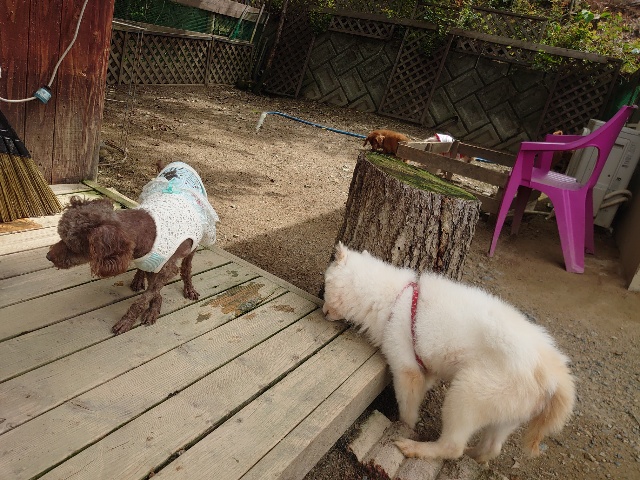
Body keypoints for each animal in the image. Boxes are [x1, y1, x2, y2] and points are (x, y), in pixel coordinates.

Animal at [46, 161, 219, 334]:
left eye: (72, 245)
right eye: (61, 236)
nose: (48, 256)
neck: (147, 230)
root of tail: (180, 163)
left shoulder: (166, 269)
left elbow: (145, 297)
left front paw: (130, 320)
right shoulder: (153, 266)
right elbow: (153, 291)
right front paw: (155, 307)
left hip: (195, 243)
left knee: (187, 268)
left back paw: (189, 288)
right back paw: (138, 280)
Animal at [322, 243, 575, 464]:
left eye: (324, 286)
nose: (323, 312)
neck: (395, 298)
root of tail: (556, 377)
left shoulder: (406, 368)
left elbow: (408, 408)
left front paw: (404, 425)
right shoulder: (427, 367)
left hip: (467, 393)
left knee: (453, 447)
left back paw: (416, 447)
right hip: (507, 415)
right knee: (492, 448)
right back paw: (474, 455)